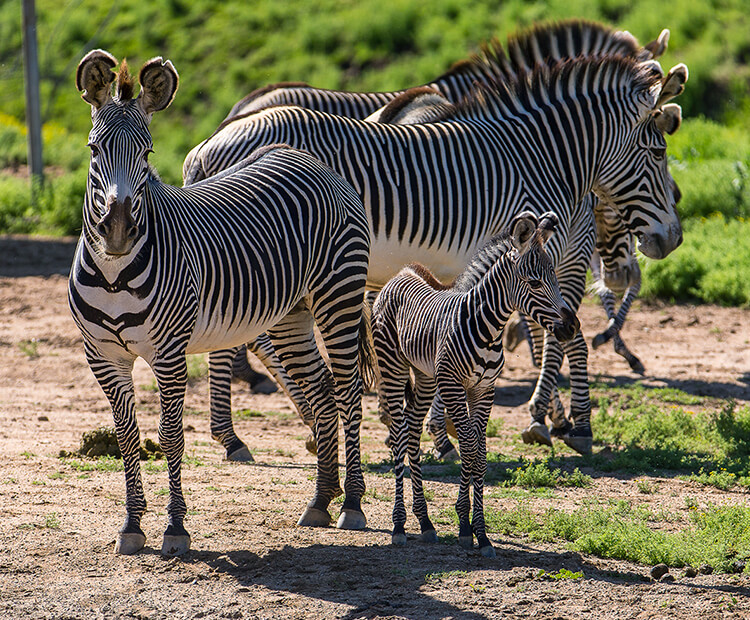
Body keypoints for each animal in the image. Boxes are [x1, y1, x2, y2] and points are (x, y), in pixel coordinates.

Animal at [71, 50, 374, 556]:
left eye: (147, 155)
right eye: (95, 150)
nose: (116, 231)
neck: (114, 275)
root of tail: (306, 158)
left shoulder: (169, 352)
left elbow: (170, 434)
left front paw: (175, 528)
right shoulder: (103, 355)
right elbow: (127, 437)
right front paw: (131, 526)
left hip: (339, 295)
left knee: (348, 390)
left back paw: (351, 502)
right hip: (290, 315)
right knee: (321, 389)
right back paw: (320, 500)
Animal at [200, 18, 680, 460]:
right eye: (659, 152)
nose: (672, 239)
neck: (539, 156)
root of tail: (208, 145)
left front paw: (438, 426)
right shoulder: (534, 250)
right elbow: (549, 335)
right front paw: (553, 423)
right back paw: (237, 436)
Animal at [374, 211, 580, 556]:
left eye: (554, 277)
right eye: (535, 283)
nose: (571, 326)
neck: (488, 329)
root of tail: (403, 271)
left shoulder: (484, 390)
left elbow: (479, 454)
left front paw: (477, 531)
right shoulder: (454, 386)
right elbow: (469, 449)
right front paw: (466, 526)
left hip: (426, 378)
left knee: (412, 433)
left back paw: (424, 521)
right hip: (393, 368)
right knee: (399, 437)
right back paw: (399, 525)